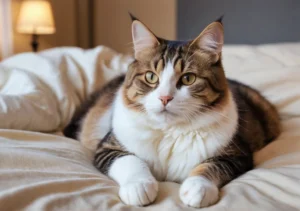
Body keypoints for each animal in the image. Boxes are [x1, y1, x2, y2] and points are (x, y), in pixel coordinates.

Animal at [63, 16, 282, 208]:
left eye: (188, 79)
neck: (170, 131)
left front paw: (197, 189)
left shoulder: (238, 155)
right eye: (151, 77)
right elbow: (131, 161)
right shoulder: (107, 148)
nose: (165, 98)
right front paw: (139, 187)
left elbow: (210, 167)